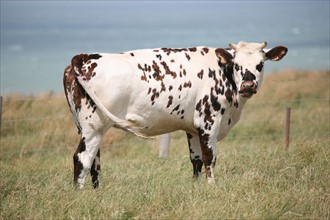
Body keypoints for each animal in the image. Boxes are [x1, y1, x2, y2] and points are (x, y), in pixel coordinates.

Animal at [62, 42, 286, 188]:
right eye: (237, 65)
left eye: (260, 64)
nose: (248, 85)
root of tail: (85, 57)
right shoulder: (209, 122)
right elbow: (209, 158)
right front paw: (212, 187)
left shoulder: (193, 128)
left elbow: (196, 159)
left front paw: (197, 189)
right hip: (95, 126)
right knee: (82, 158)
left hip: (84, 126)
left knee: (94, 160)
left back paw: (97, 192)